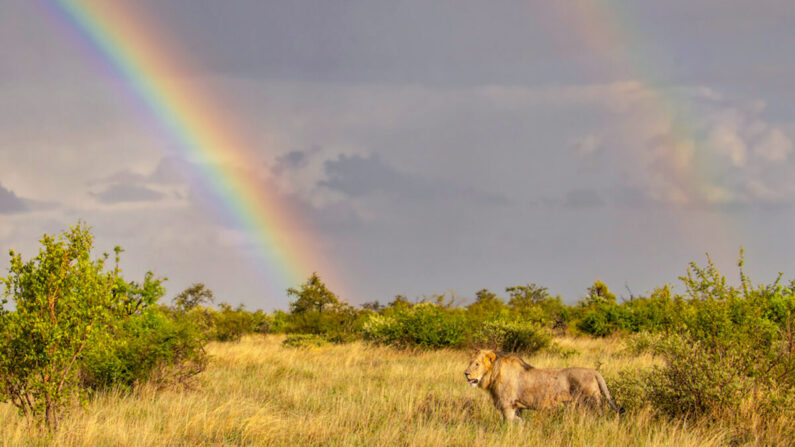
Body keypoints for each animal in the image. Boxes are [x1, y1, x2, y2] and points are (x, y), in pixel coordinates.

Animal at [466, 350, 620, 424]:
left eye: (477, 364)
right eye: (470, 362)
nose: (465, 373)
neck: (494, 374)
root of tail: (595, 372)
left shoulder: (507, 406)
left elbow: (508, 426)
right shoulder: (517, 407)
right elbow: (520, 424)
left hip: (592, 404)